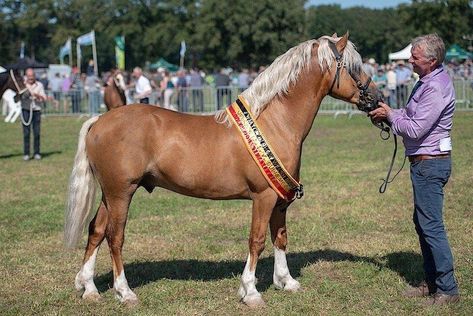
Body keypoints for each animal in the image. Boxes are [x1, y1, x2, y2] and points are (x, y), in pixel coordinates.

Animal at [64, 33, 378, 308]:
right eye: (354, 67)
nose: (375, 98)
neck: (274, 122)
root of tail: (100, 120)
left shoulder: (280, 200)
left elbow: (280, 237)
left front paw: (286, 282)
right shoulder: (263, 197)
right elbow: (257, 240)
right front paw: (250, 292)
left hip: (109, 194)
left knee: (96, 230)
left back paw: (89, 288)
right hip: (121, 193)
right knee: (115, 237)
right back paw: (125, 292)